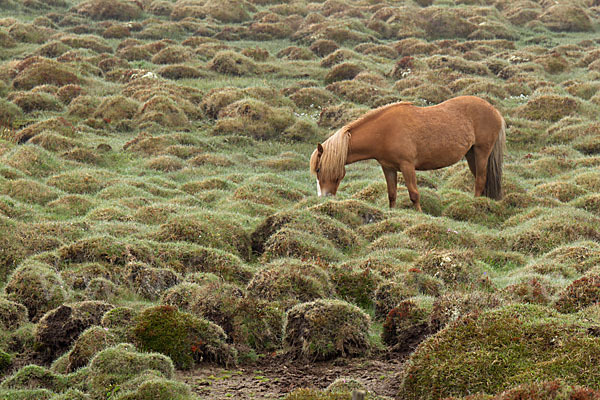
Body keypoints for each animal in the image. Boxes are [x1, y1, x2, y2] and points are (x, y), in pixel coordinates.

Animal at [310, 95, 506, 212]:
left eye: (319, 169)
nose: (323, 197)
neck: (384, 132)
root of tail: (494, 111)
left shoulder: (407, 166)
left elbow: (414, 194)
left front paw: (419, 214)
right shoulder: (388, 168)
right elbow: (392, 194)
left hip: (482, 152)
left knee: (480, 179)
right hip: (471, 154)